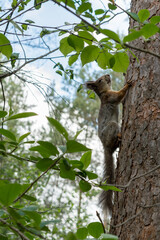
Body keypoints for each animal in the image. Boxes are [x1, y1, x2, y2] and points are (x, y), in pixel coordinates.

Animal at [85, 74, 131, 217]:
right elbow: (119, 95)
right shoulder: (110, 96)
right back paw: (119, 137)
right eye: (100, 80)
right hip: (112, 126)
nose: (108, 75)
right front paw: (127, 84)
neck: (104, 92)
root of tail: (105, 147)